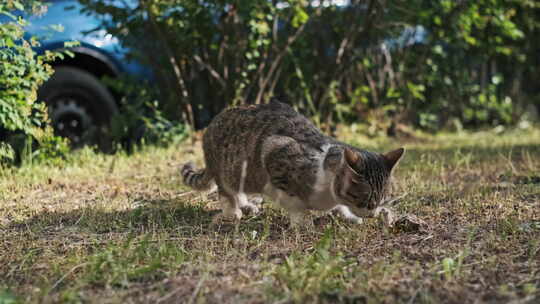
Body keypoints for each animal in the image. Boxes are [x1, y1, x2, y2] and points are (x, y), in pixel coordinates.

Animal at [184, 100, 402, 226]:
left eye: (383, 200)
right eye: (365, 200)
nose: (373, 214)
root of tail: (210, 125)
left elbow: (340, 207)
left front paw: (348, 215)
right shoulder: (274, 151)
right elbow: (294, 203)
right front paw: (303, 223)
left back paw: (246, 205)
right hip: (229, 168)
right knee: (226, 190)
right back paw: (233, 211)